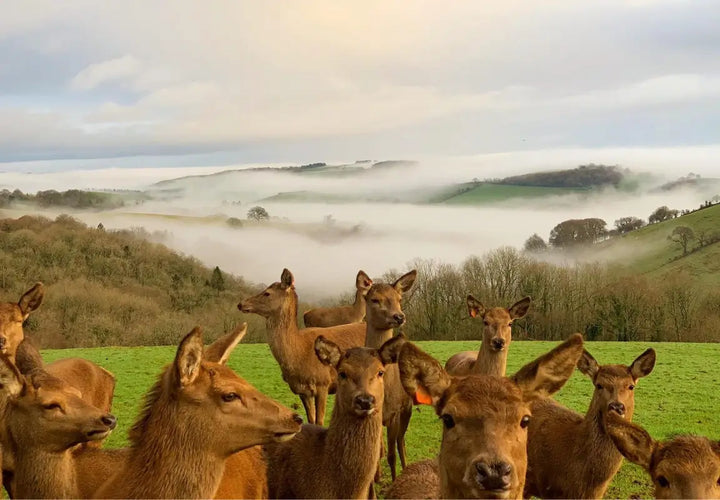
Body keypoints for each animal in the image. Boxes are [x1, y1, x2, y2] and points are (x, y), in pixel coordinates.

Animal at [238, 268, 368, 425]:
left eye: (267, 293)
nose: (241, 304)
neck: (300, 354)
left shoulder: (323, 383)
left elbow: (319, 422)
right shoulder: (302, 391)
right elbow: (311, 420)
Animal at [363, 270, 417, 481]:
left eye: (399, 299)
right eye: (374, 299)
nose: (399, 316)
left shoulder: (395, 412)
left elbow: (392, 455)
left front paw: (394, 480)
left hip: (407, 408)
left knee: (401, 442)